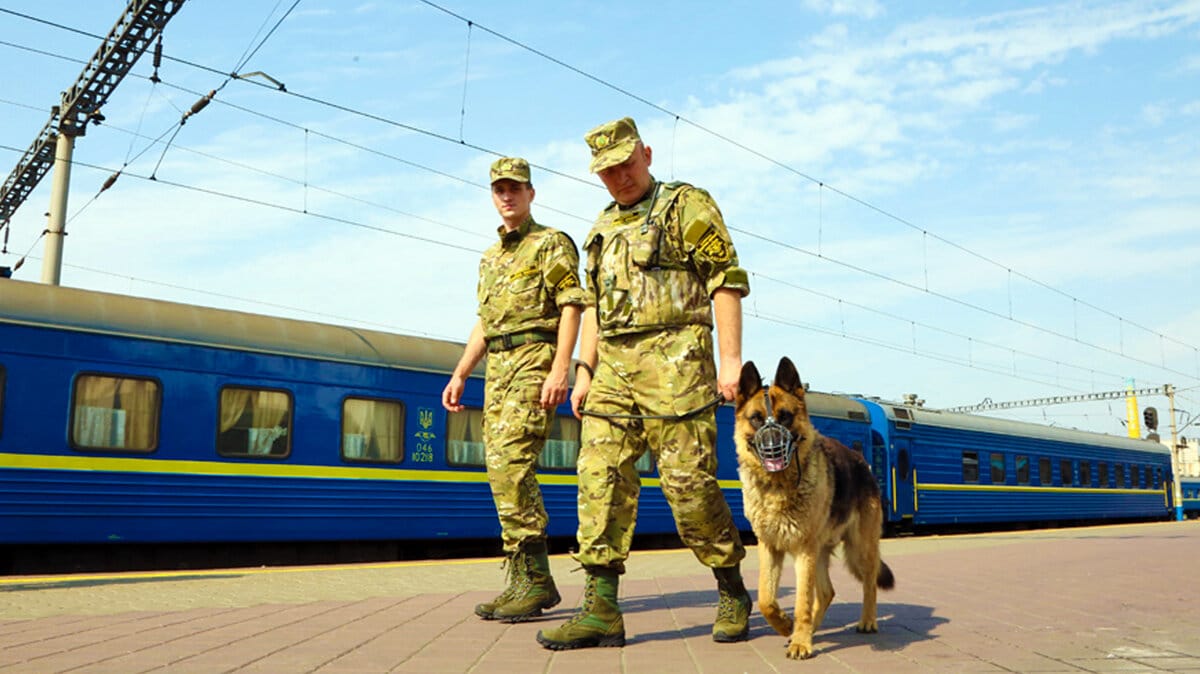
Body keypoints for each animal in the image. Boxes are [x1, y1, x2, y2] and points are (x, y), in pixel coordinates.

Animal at [729, 357, 892, 657]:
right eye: (756, 418)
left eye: (785, 416)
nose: (772, 447)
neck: (778, 487)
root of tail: (861, 461)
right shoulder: (769, 546)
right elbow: (766, 598)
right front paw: (786, 626)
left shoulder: (803, 549)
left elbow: (803, 600)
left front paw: (800, 641)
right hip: (819, 552)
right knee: (827, 592)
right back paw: (807, 630)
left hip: (857, 548)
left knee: (869, 583)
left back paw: (866, 621)